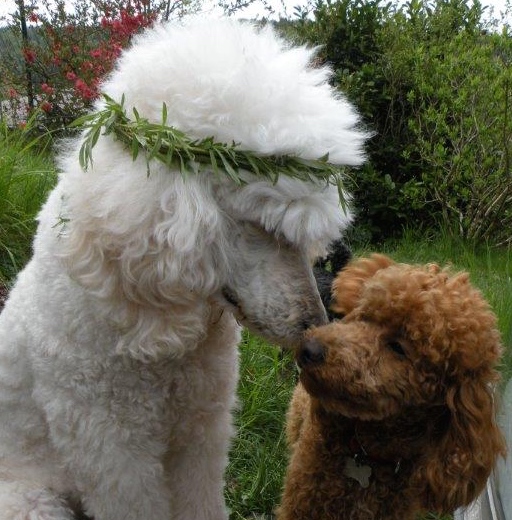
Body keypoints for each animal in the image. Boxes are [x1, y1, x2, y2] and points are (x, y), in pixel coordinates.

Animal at [0, 16, 366, 520]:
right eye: (258, 226)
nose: (314, 327)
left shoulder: (202, 427)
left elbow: (201, 496)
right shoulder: (113, 449)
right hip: (32, 498)